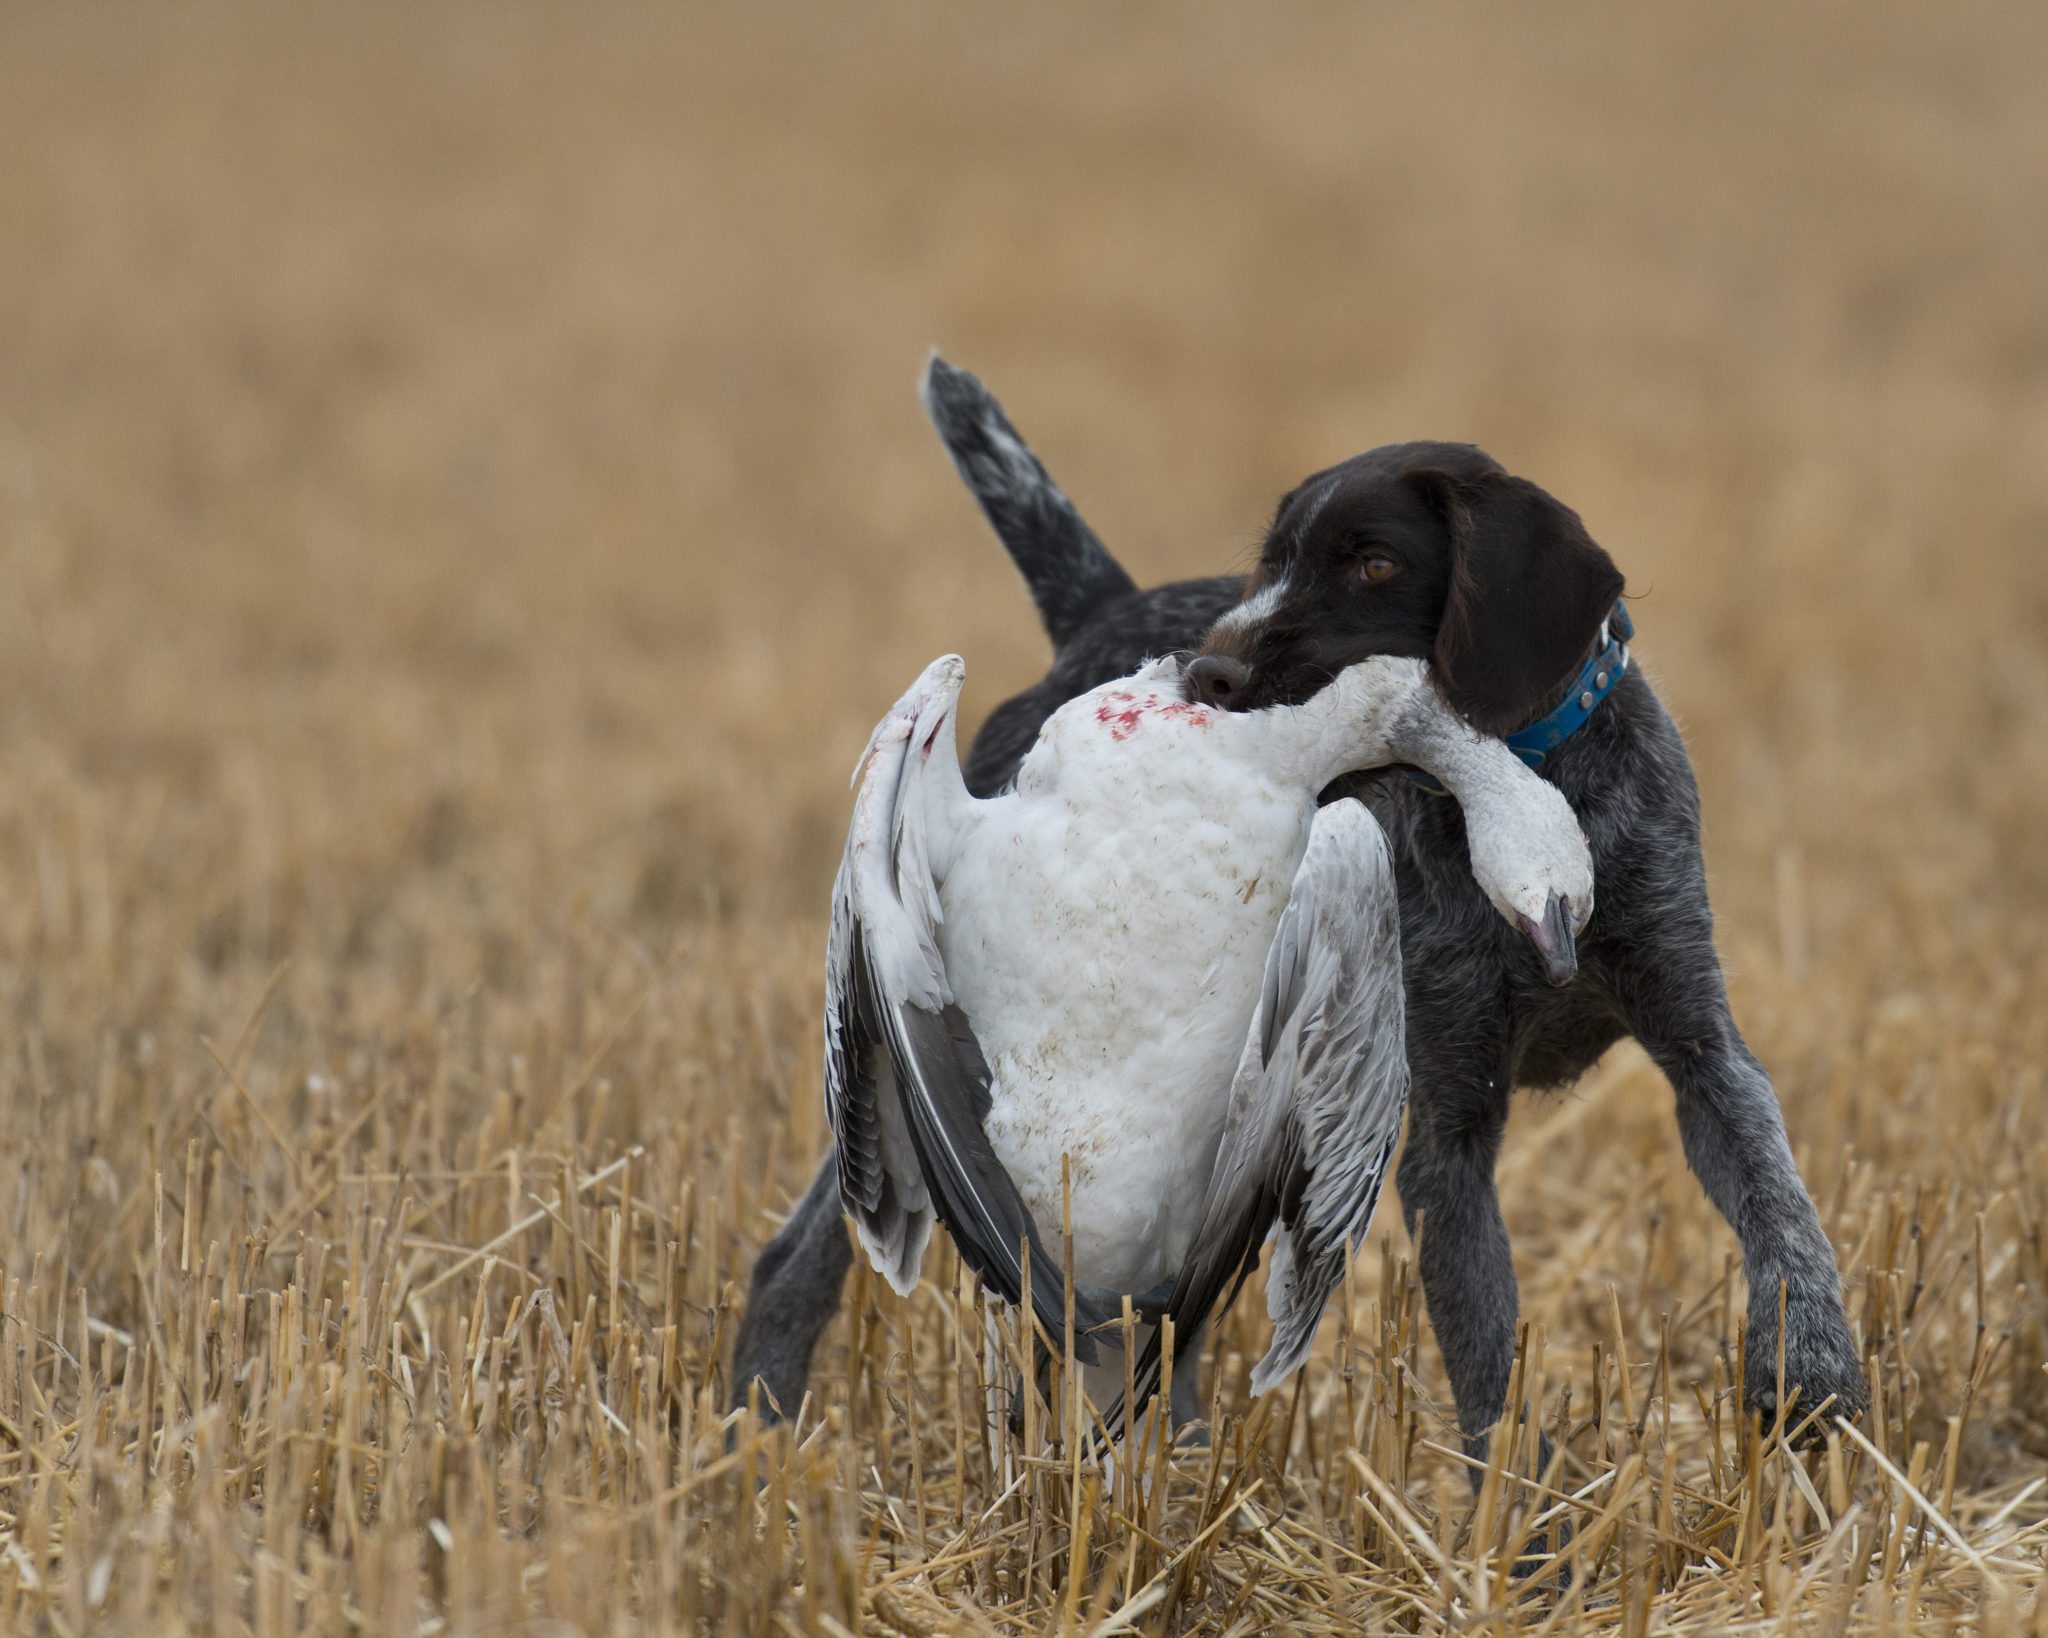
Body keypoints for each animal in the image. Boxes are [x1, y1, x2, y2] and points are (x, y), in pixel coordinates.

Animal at [737, 362, 1875, 1474]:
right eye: (1271, 563)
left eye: (1371, 563)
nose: (1206, 673)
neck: (1523, 771)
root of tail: (1102, 616)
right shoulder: (1445, 1130)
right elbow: (1484, 1347)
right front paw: (1523, 1513)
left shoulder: (1698, 1044)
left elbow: (1777, 1199)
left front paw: (1811, 1371)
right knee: (810, 1245)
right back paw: (754, 1432)